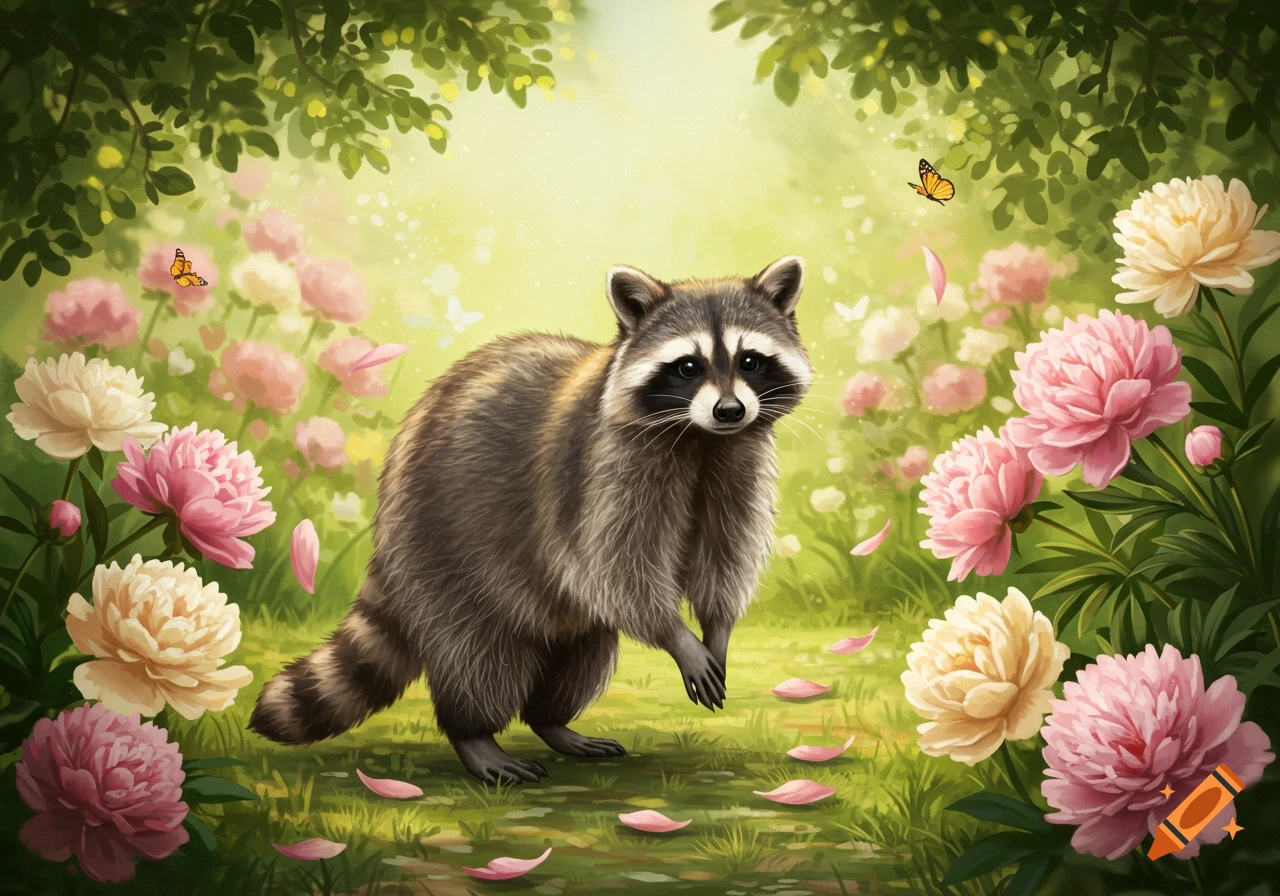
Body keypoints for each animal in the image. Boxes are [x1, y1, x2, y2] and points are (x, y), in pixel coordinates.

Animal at [249, 256, 812, 783]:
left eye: (750, 360)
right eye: (688, 366)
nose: (729, 410)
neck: (700, 440)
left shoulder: (738, 462)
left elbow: (725, 554)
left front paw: (717, 628)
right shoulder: (598, 471)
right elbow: (618, 568)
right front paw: (677, 637)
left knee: (583, 650)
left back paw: (552, 721)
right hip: (443, 545)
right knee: (476, 652)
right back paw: (474, 733)